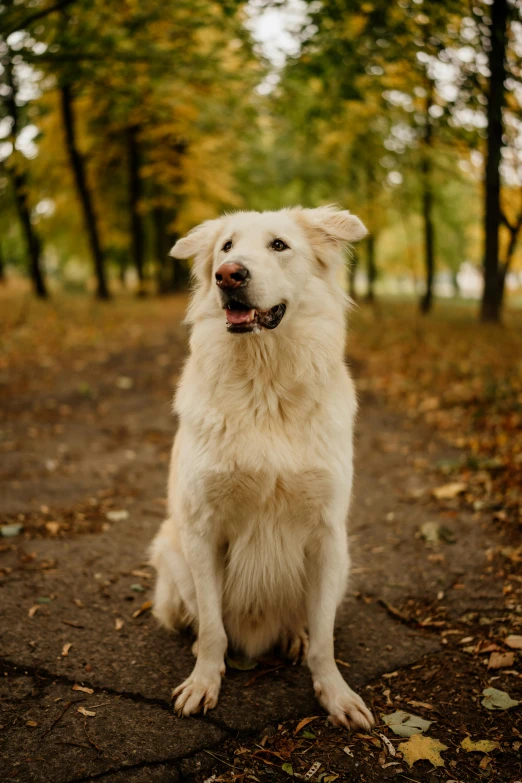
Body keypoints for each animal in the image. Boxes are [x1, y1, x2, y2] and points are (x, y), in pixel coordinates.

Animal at [148, 205, 372, 732]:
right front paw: (204, 681)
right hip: (171, 552)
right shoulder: (203, 529)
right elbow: (213, 627)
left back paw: (293, 638)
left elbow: (325, 638)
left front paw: (334, 694)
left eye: (279, 245)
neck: (264, 383)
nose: (228, 275)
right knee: (198, 617)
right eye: (226, 246)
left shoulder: (328, 535)